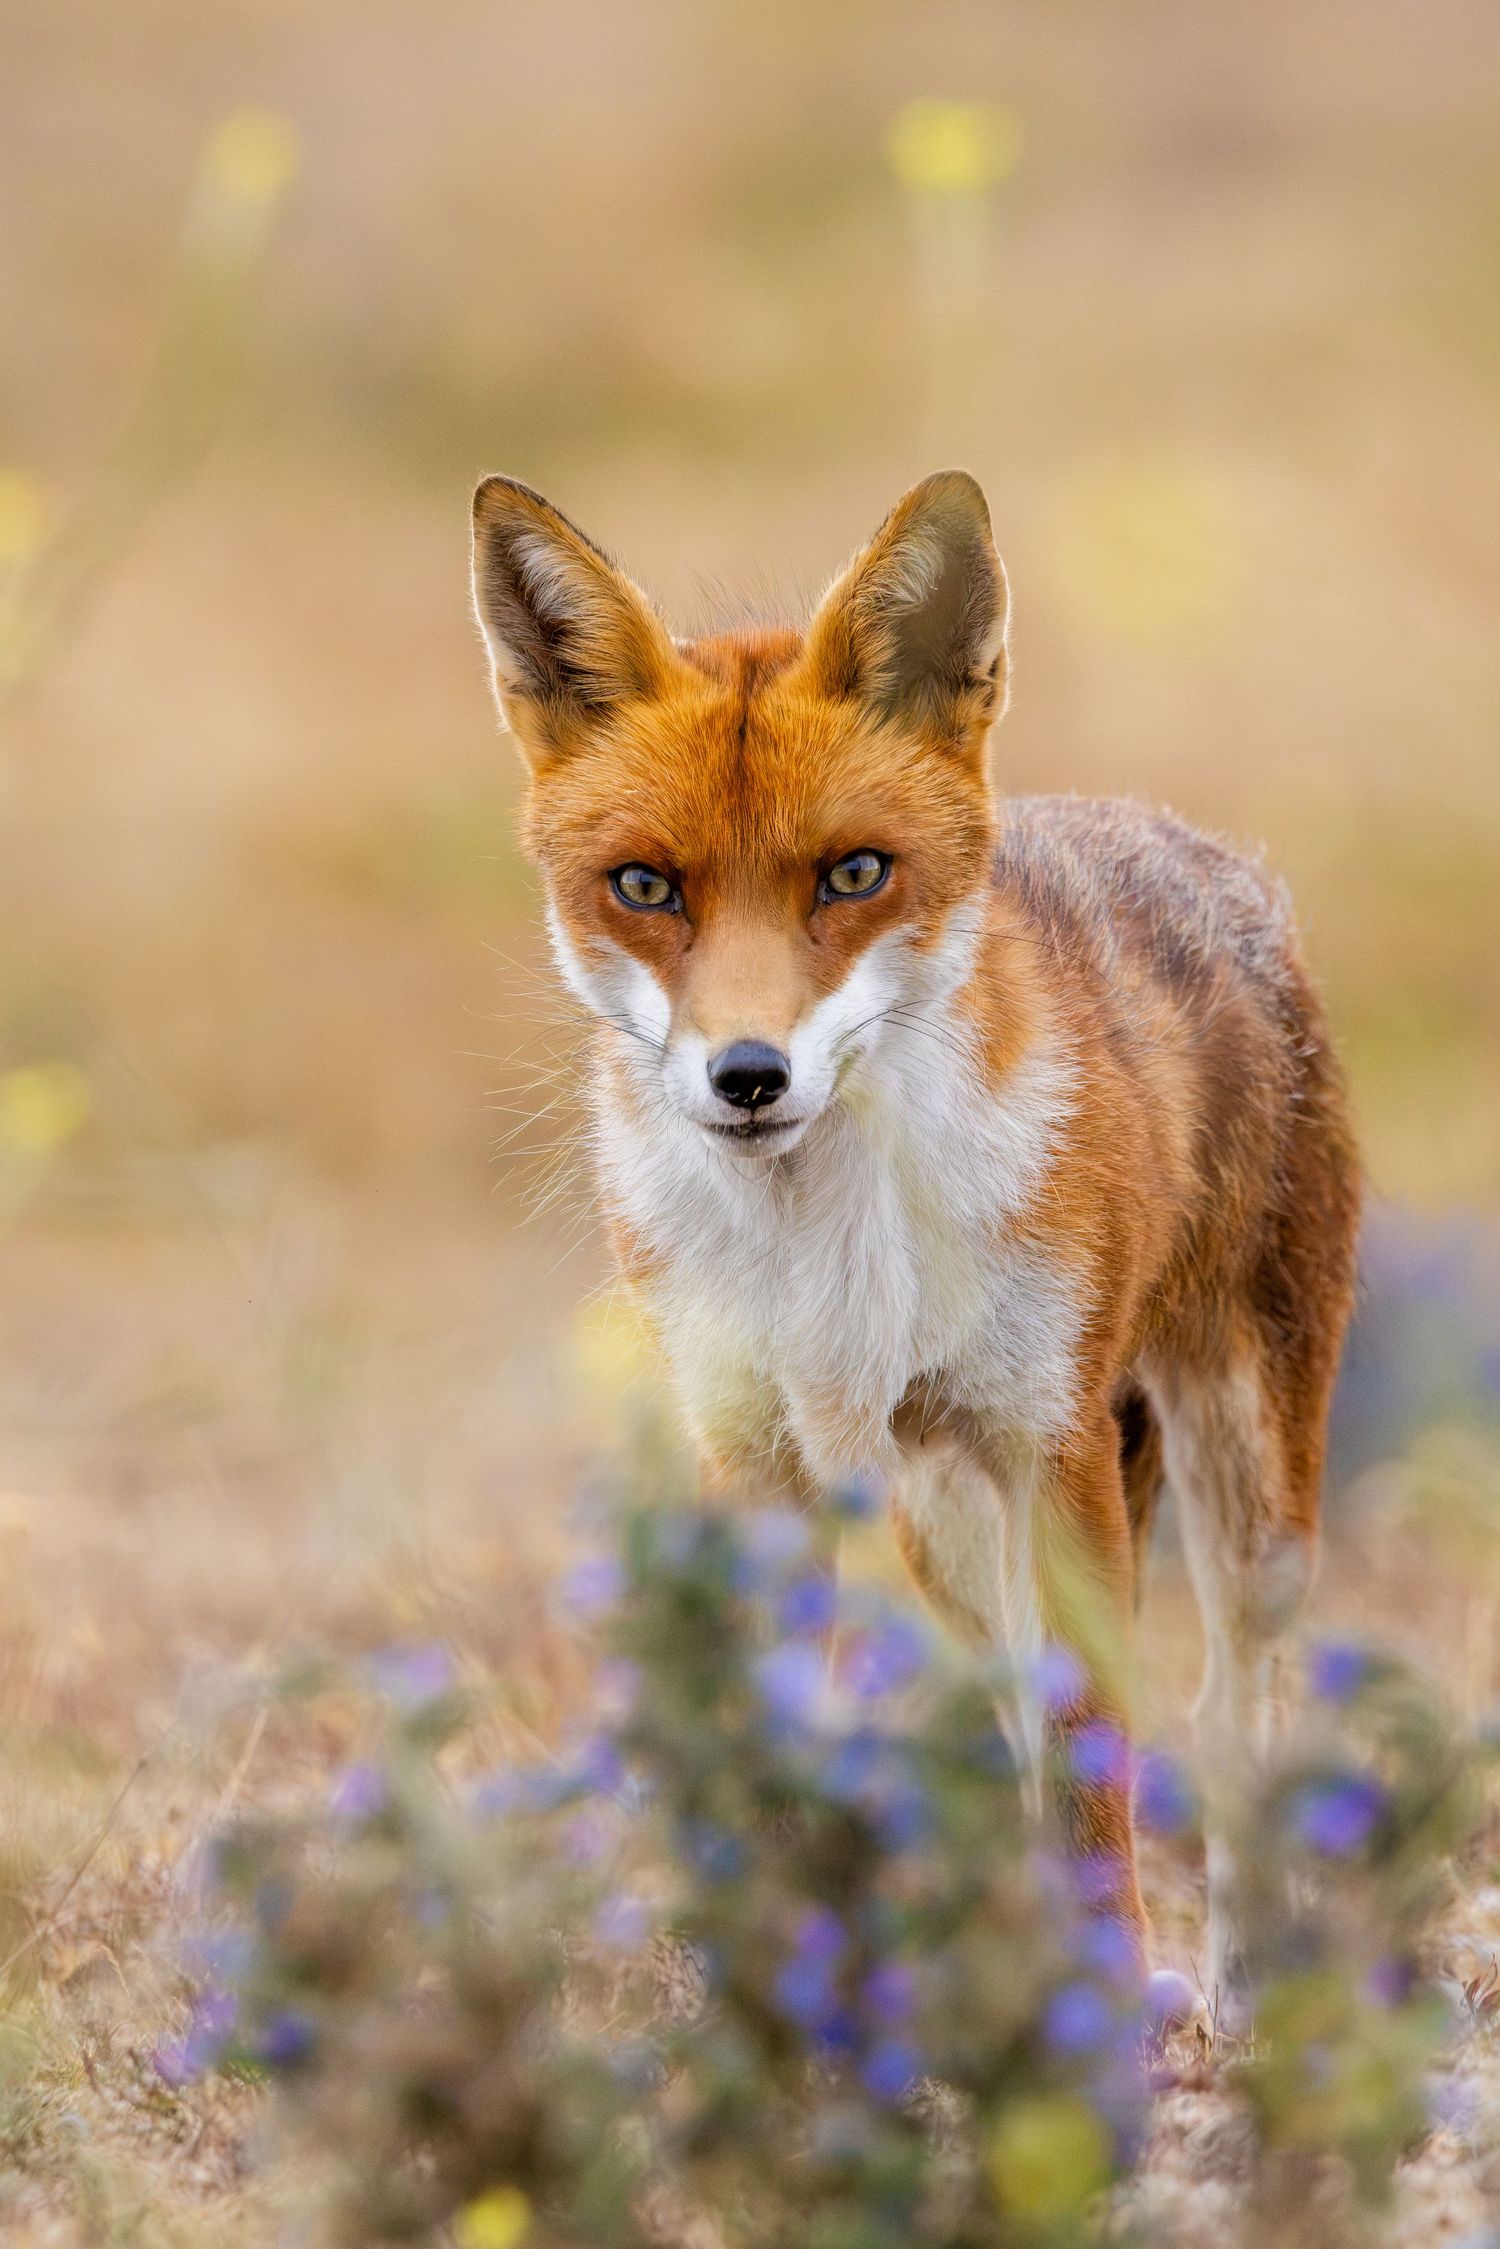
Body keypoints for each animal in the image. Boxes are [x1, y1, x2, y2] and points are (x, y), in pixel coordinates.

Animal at [469, 468, 1361, 2008]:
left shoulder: (1056, 1440)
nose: (747, 1075)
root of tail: (1199, 854)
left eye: (854, 873)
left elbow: (1095, 1773)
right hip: (942, 1524)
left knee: (1232, 1710)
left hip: (1241, 1476)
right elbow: (780, 1747)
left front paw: (1106, 2015)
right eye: (645, 886)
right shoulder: (754, 1452)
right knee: (1004, 1723)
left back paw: (1246, 1989)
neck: (831, 1253)